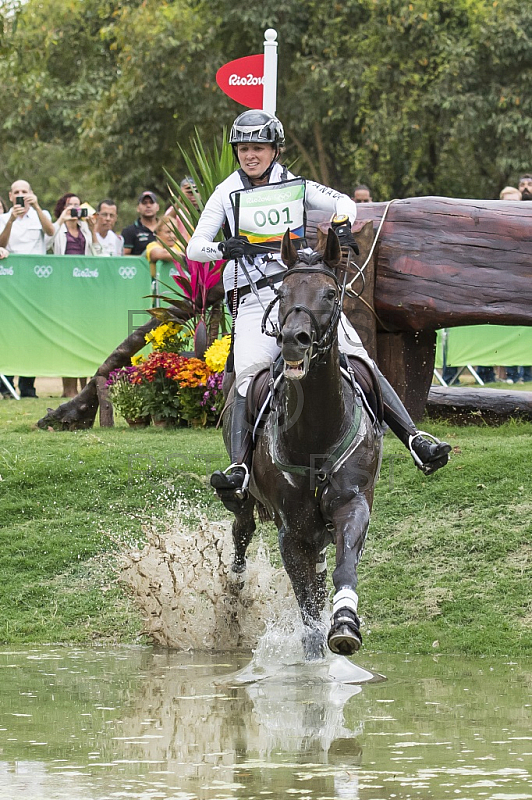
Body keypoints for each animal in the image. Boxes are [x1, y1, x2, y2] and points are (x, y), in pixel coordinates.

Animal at [223, 228, 382, 660]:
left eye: (329, 293)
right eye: (283, 291)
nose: (295, 340)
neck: (316, 432)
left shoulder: (352, 504)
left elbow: (344, 566)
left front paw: (344, 622)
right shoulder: (292, 532)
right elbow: (306, 602)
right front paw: (313, 650)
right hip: (244, 497)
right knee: (241, 529)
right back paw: (234, 587)